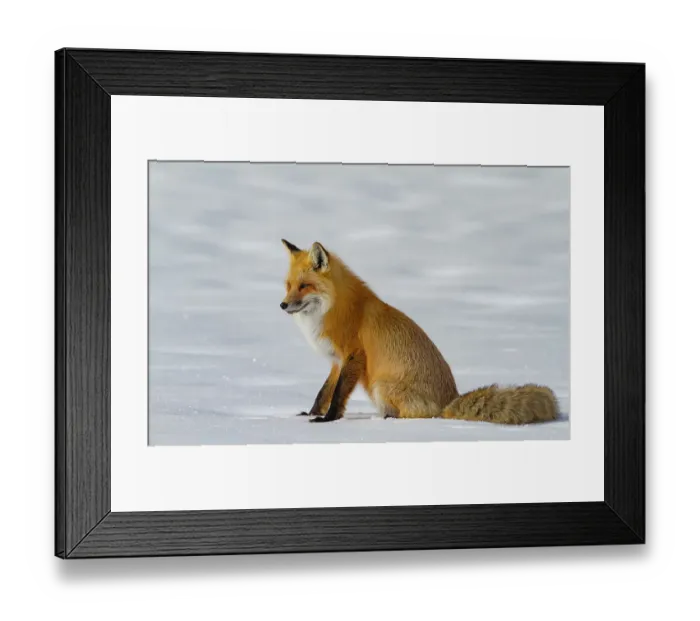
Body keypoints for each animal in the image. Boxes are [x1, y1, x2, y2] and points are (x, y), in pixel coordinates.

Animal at [279, 239, 559, 425]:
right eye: (289, 285)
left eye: (304, 286)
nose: (282, 305)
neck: (336, 307)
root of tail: (449, 401)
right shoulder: (337, 361)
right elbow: (324, 392)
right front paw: (312, 413)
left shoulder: (353, 355)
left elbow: (338, 394)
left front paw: (328, 420)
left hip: (381, 386)